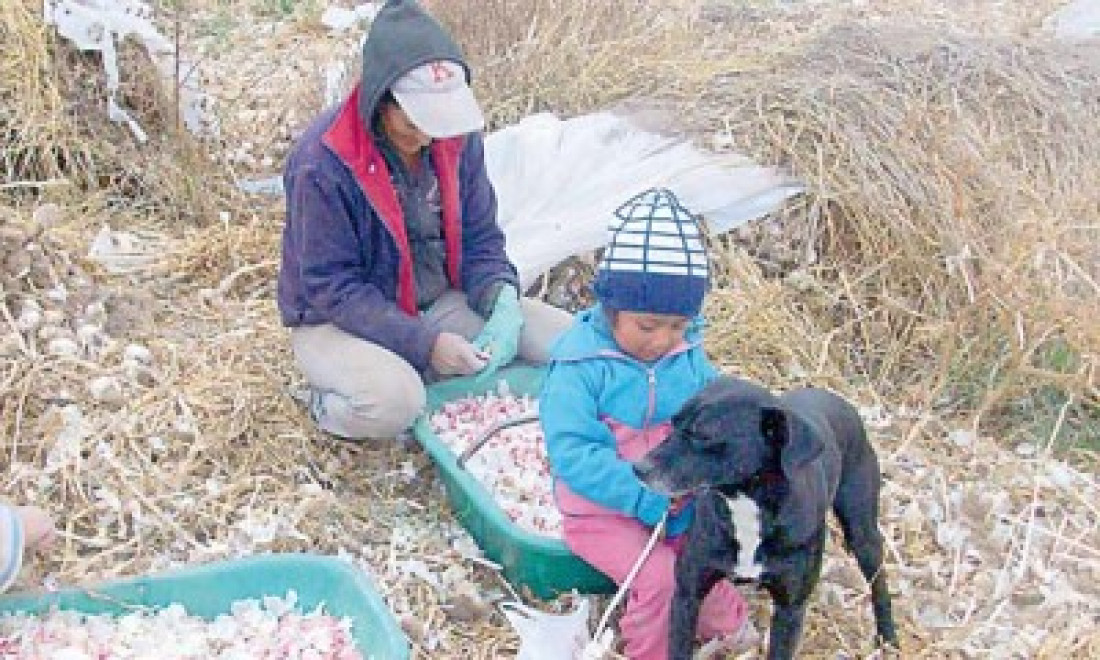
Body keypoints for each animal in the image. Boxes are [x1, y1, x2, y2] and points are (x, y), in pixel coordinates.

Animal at [633, 376, 897, 660]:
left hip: (862, 532)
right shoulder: (687, 594)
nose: (638, 468)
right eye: (673, 422)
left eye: (703, 434)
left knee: (879, 583)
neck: (745, 503)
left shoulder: (790, 608)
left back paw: (889, 637)